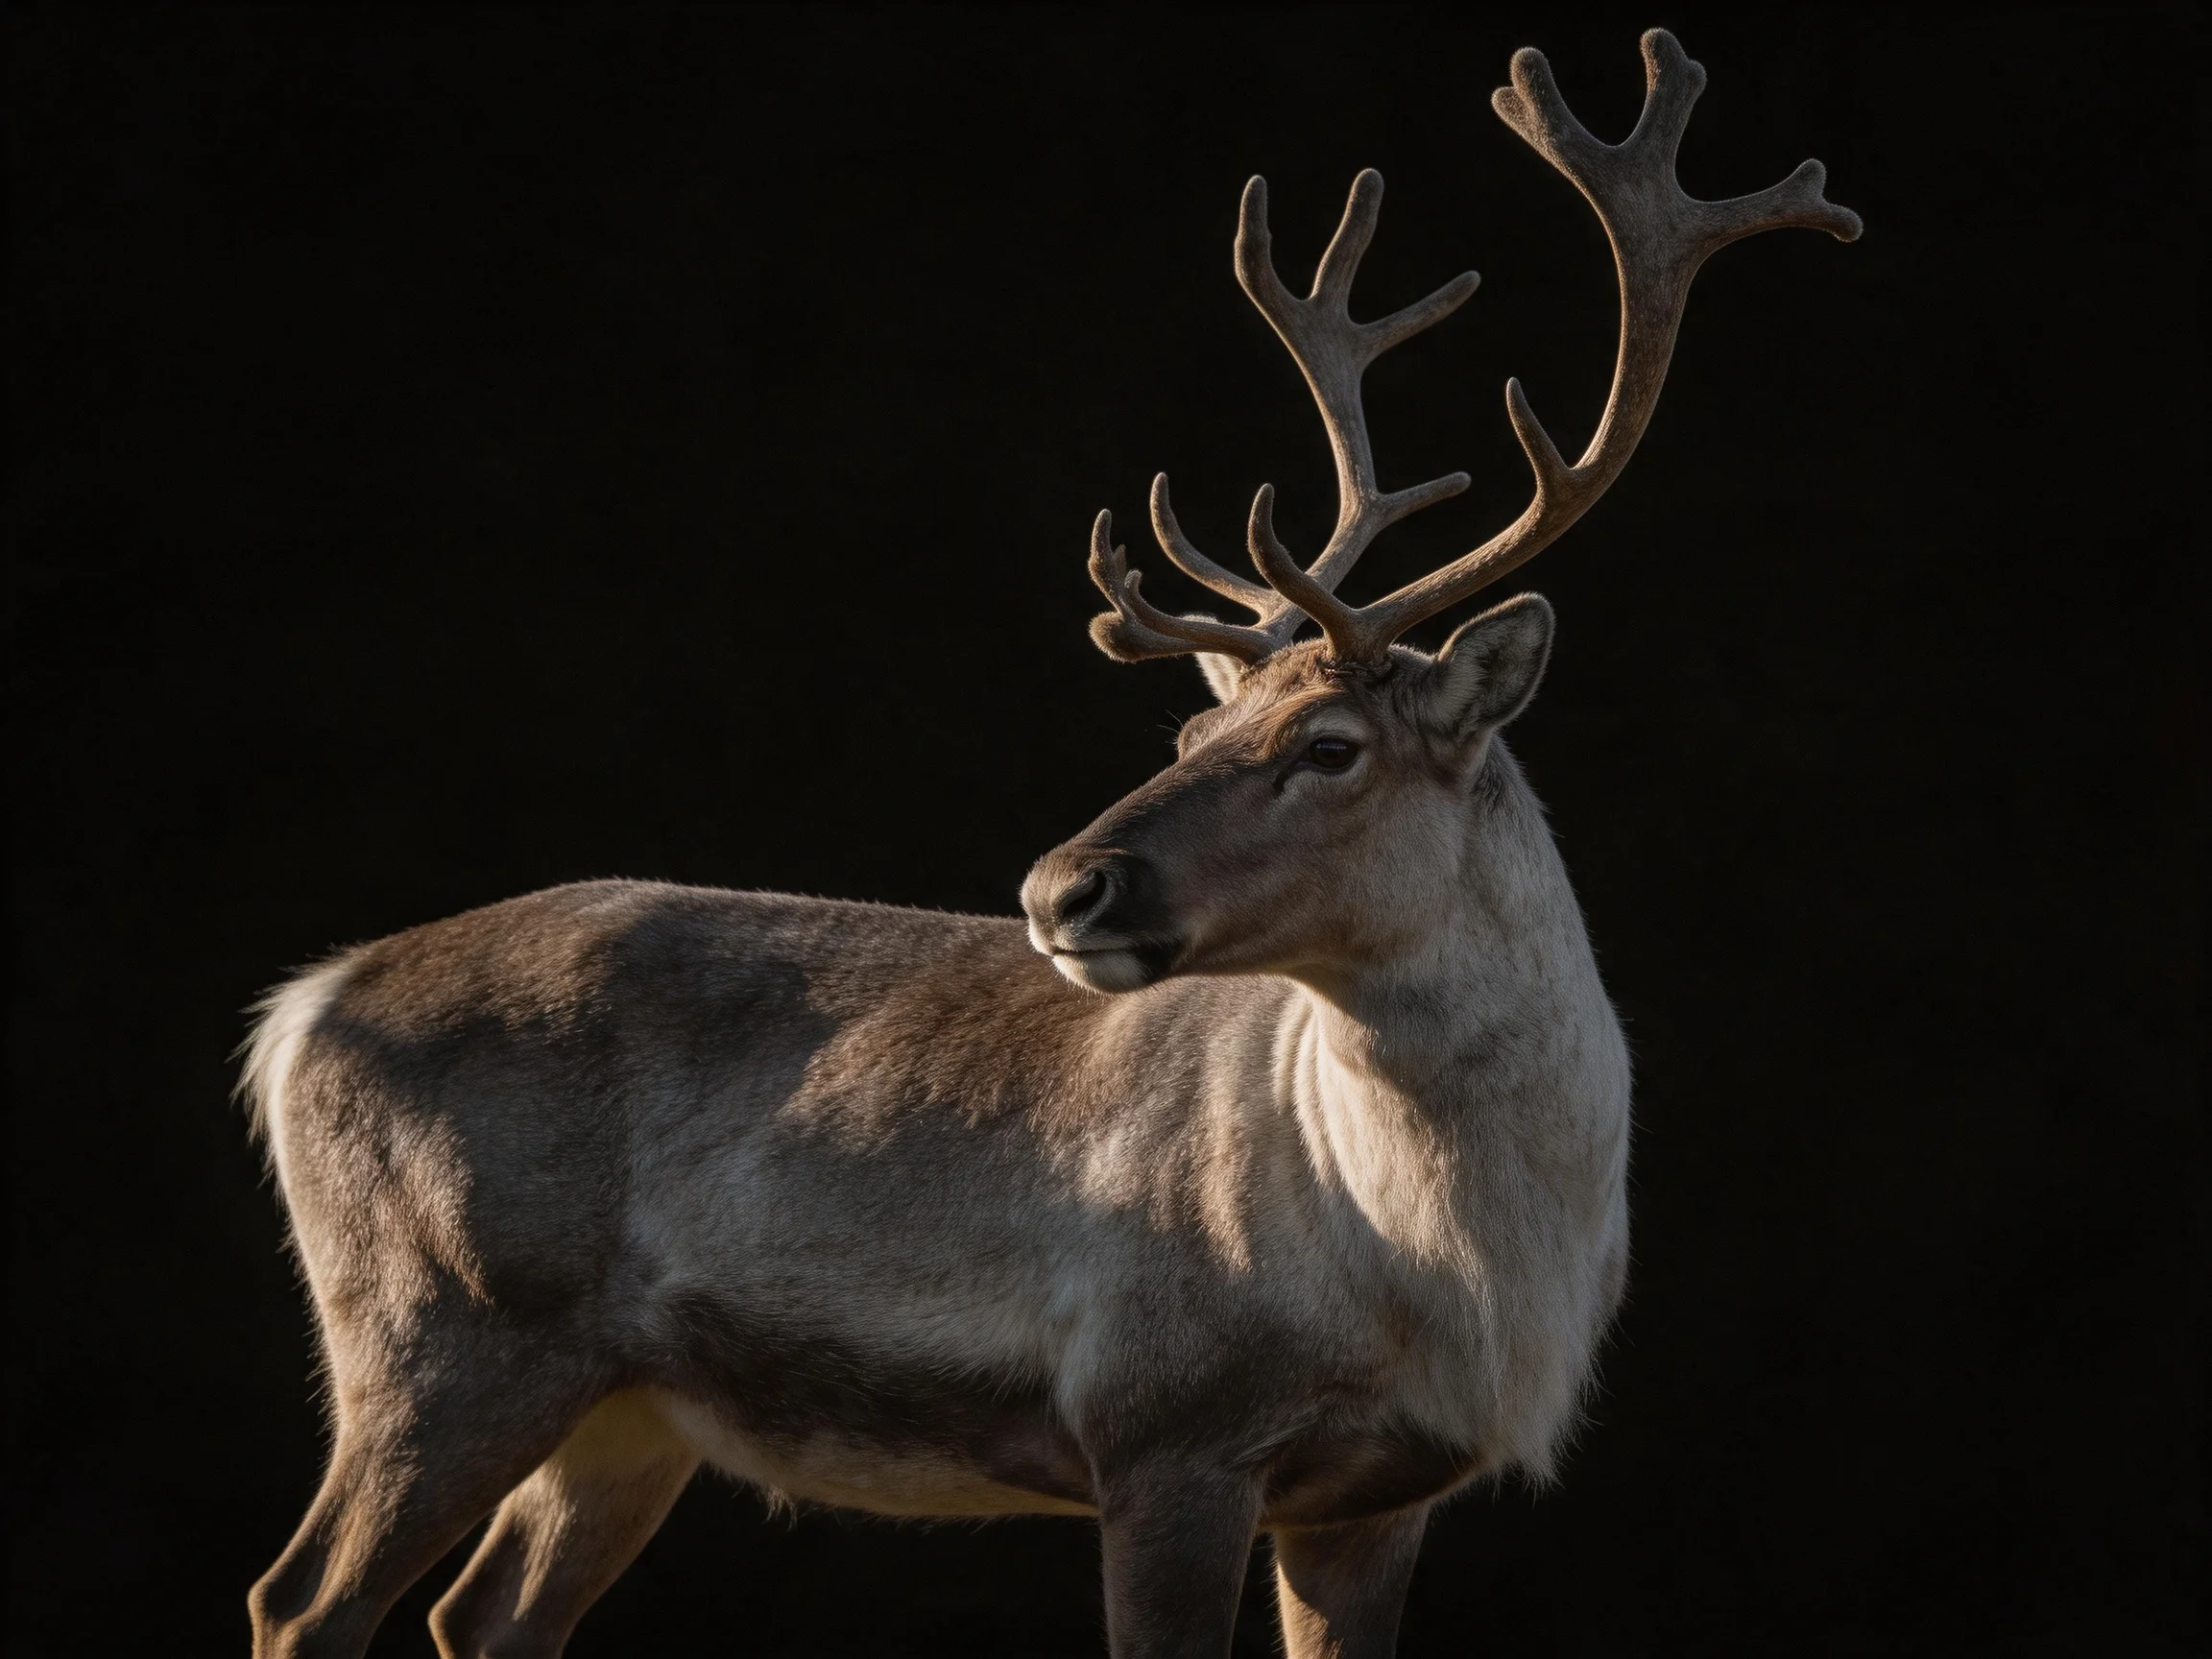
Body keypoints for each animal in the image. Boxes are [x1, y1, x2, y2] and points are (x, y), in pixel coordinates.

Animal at [238, 29, 1855, 1659]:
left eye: (1328, 747)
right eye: (1192, 734)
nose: (1061, 886)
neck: (1456, 1279)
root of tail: (302, 1008)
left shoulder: (1381, 1497)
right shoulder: (1162, 1424)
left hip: (626, 1412)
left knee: (482, 1613)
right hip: (441, 1323)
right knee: (301, 1597)